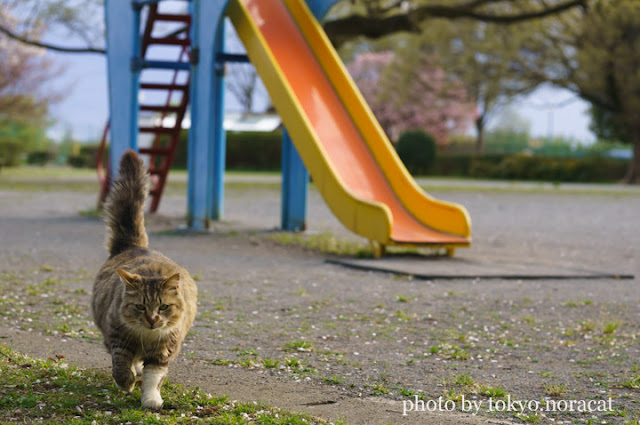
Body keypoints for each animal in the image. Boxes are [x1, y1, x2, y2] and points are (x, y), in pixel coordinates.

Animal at [91, 151, 198, 410]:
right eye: (140, 306)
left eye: (164, 306)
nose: (152, 319)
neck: (146, 336)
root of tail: (134, 246)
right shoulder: (119, 338)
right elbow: (121, 367)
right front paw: (127, 383)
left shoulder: (164, 349)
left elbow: (153, 377)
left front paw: (151, 399)